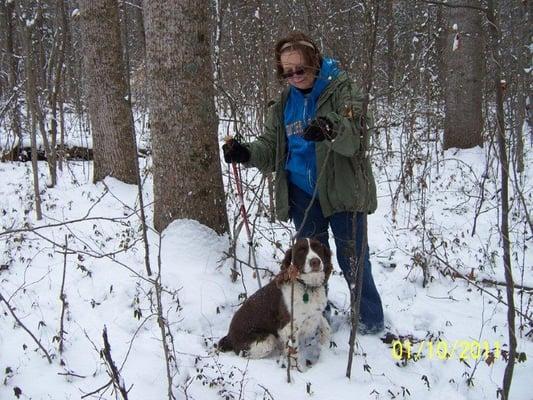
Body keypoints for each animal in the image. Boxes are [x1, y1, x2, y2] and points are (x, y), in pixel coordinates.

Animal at [218, 238, 330, 368]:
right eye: (301, 251)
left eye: (318, 248)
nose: (315, 262)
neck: (307, 287)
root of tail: (229, 336)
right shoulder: (288, 327)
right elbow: (293, 352)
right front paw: (298, 369)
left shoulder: (315, 314)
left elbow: (326, 327)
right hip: (267, 340)